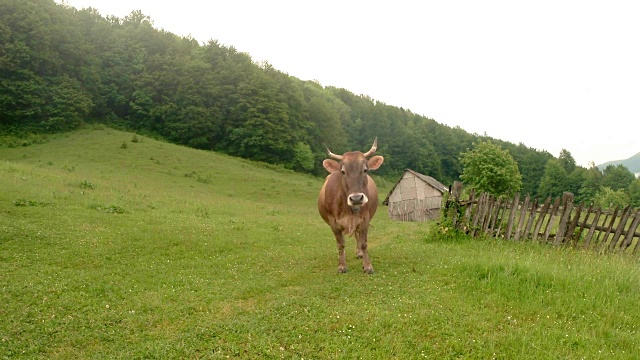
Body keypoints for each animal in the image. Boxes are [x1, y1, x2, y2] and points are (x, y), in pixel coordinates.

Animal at [316, 138, 382, 272]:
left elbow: (363, 243)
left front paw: (367, 265)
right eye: (343, 171)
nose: (356, 198)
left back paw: (359, 253)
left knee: (357, 236)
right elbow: (340, 244)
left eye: (365, 170)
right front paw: (342, 265)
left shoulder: (365, 219)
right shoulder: (333, 222)